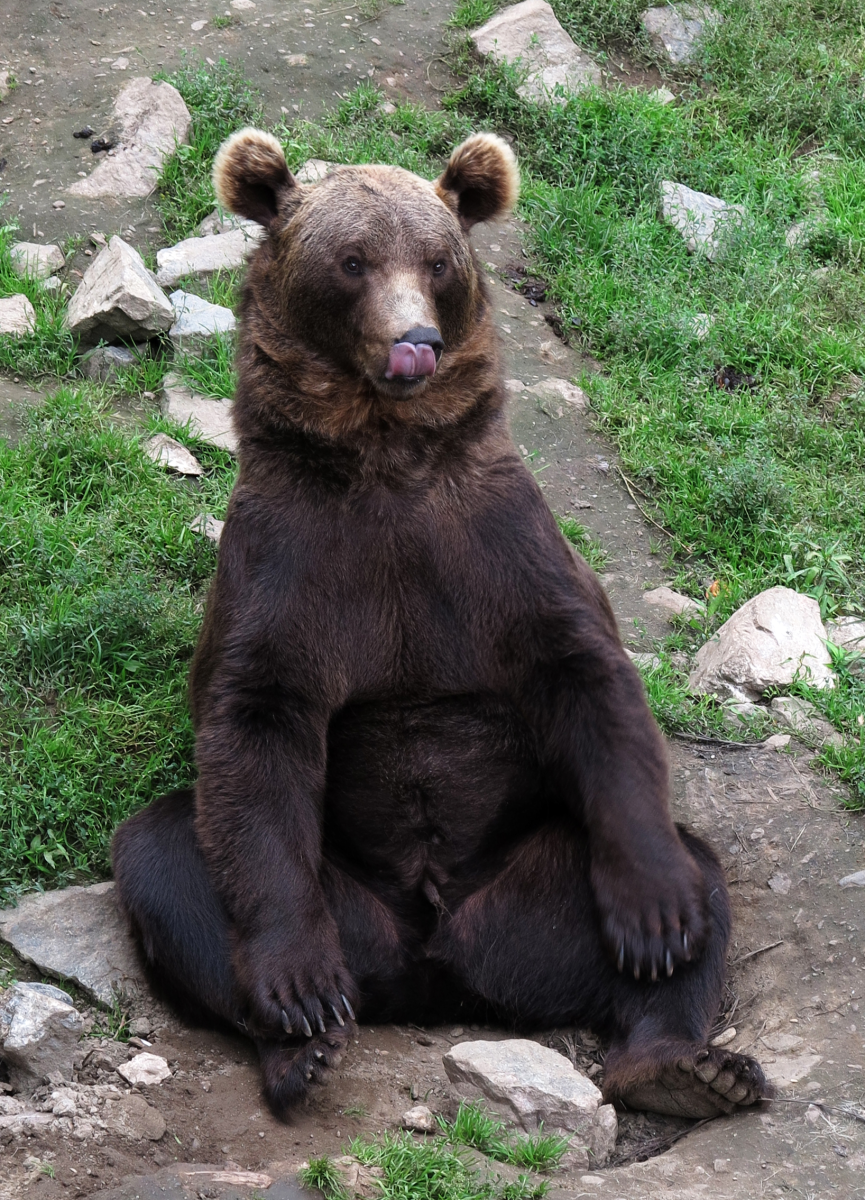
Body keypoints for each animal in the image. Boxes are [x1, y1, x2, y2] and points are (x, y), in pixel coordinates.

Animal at [112, 128, 772, 1122]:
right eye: (350, 261)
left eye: (436, 260)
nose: (414, 341)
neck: (386, 460)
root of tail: (437, 970)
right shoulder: (289, 566)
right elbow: (254, 728)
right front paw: (298, 992)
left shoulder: (494, 549)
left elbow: (591, 680)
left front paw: (658, 921)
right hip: (350, 908)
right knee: (166, 856)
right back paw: (301, 1050)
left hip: (529, 893)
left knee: (698, 872)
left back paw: (683, 1064)